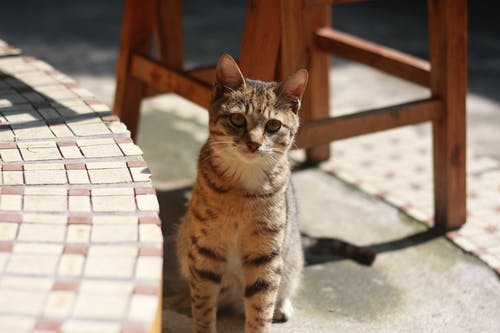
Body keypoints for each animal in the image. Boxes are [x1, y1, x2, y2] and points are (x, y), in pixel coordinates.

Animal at [178, 53, 306, 330]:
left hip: (291, 260)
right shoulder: (206, 250)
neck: (242, 190)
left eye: (273, 125)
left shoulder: (266, 256)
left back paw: (282, 308)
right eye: (237, 119)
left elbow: (261, 309)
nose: (254, 143)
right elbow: (203, 306)